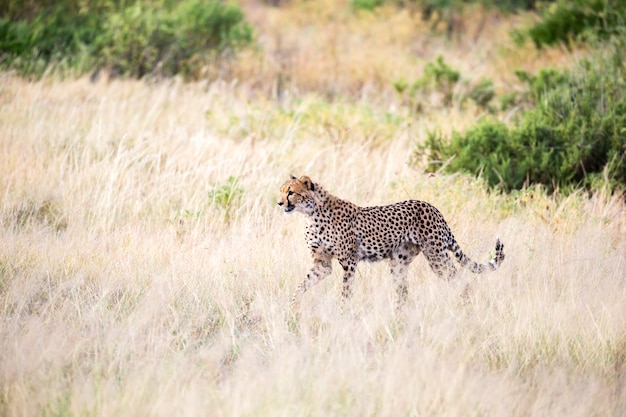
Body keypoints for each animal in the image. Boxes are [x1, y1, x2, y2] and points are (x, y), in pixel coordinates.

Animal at [276, 174, 502, 304]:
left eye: (291, 193)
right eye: (281, 191)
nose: (279, 203)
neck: (311, 214)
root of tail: (432, 207)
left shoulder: (349, 262)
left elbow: (345, 292)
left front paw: (343, 314)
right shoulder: (322, 264)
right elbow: (302, 285)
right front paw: (293, 308)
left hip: (436, 256)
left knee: (460, 279)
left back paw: (465, 307)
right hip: (399, 263)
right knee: (403, 293)